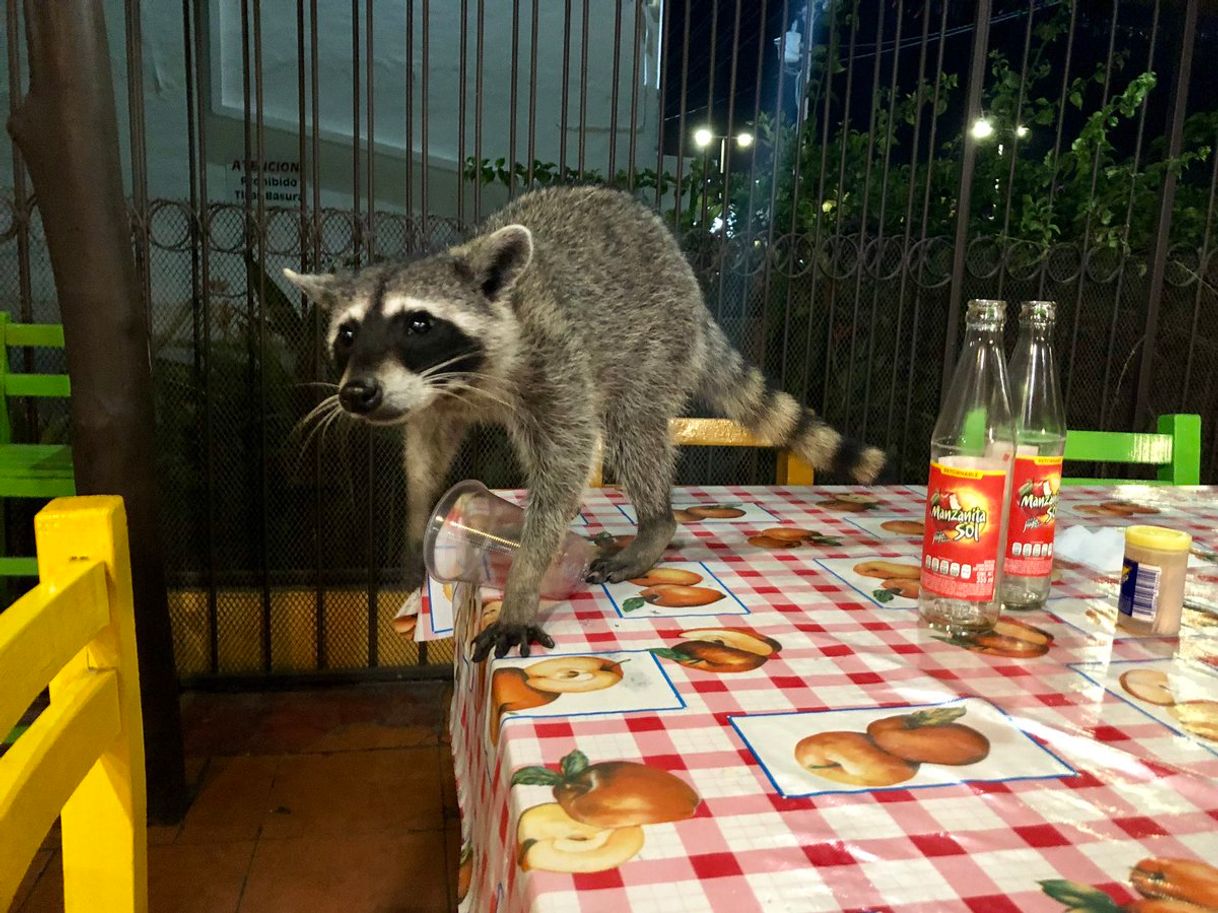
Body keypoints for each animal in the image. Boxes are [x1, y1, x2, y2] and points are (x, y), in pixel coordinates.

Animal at [285, 187, 886, 657]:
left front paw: (524, 580)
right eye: (347, 334)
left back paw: (656, 525)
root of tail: (693, 292)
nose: (357, 393)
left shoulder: (552, 356)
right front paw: (417, 516)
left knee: (633, 430)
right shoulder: (432, 398)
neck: (461, 379)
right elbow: (426, 448)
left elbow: (565, 464)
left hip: (654, 341)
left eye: (417, 324)